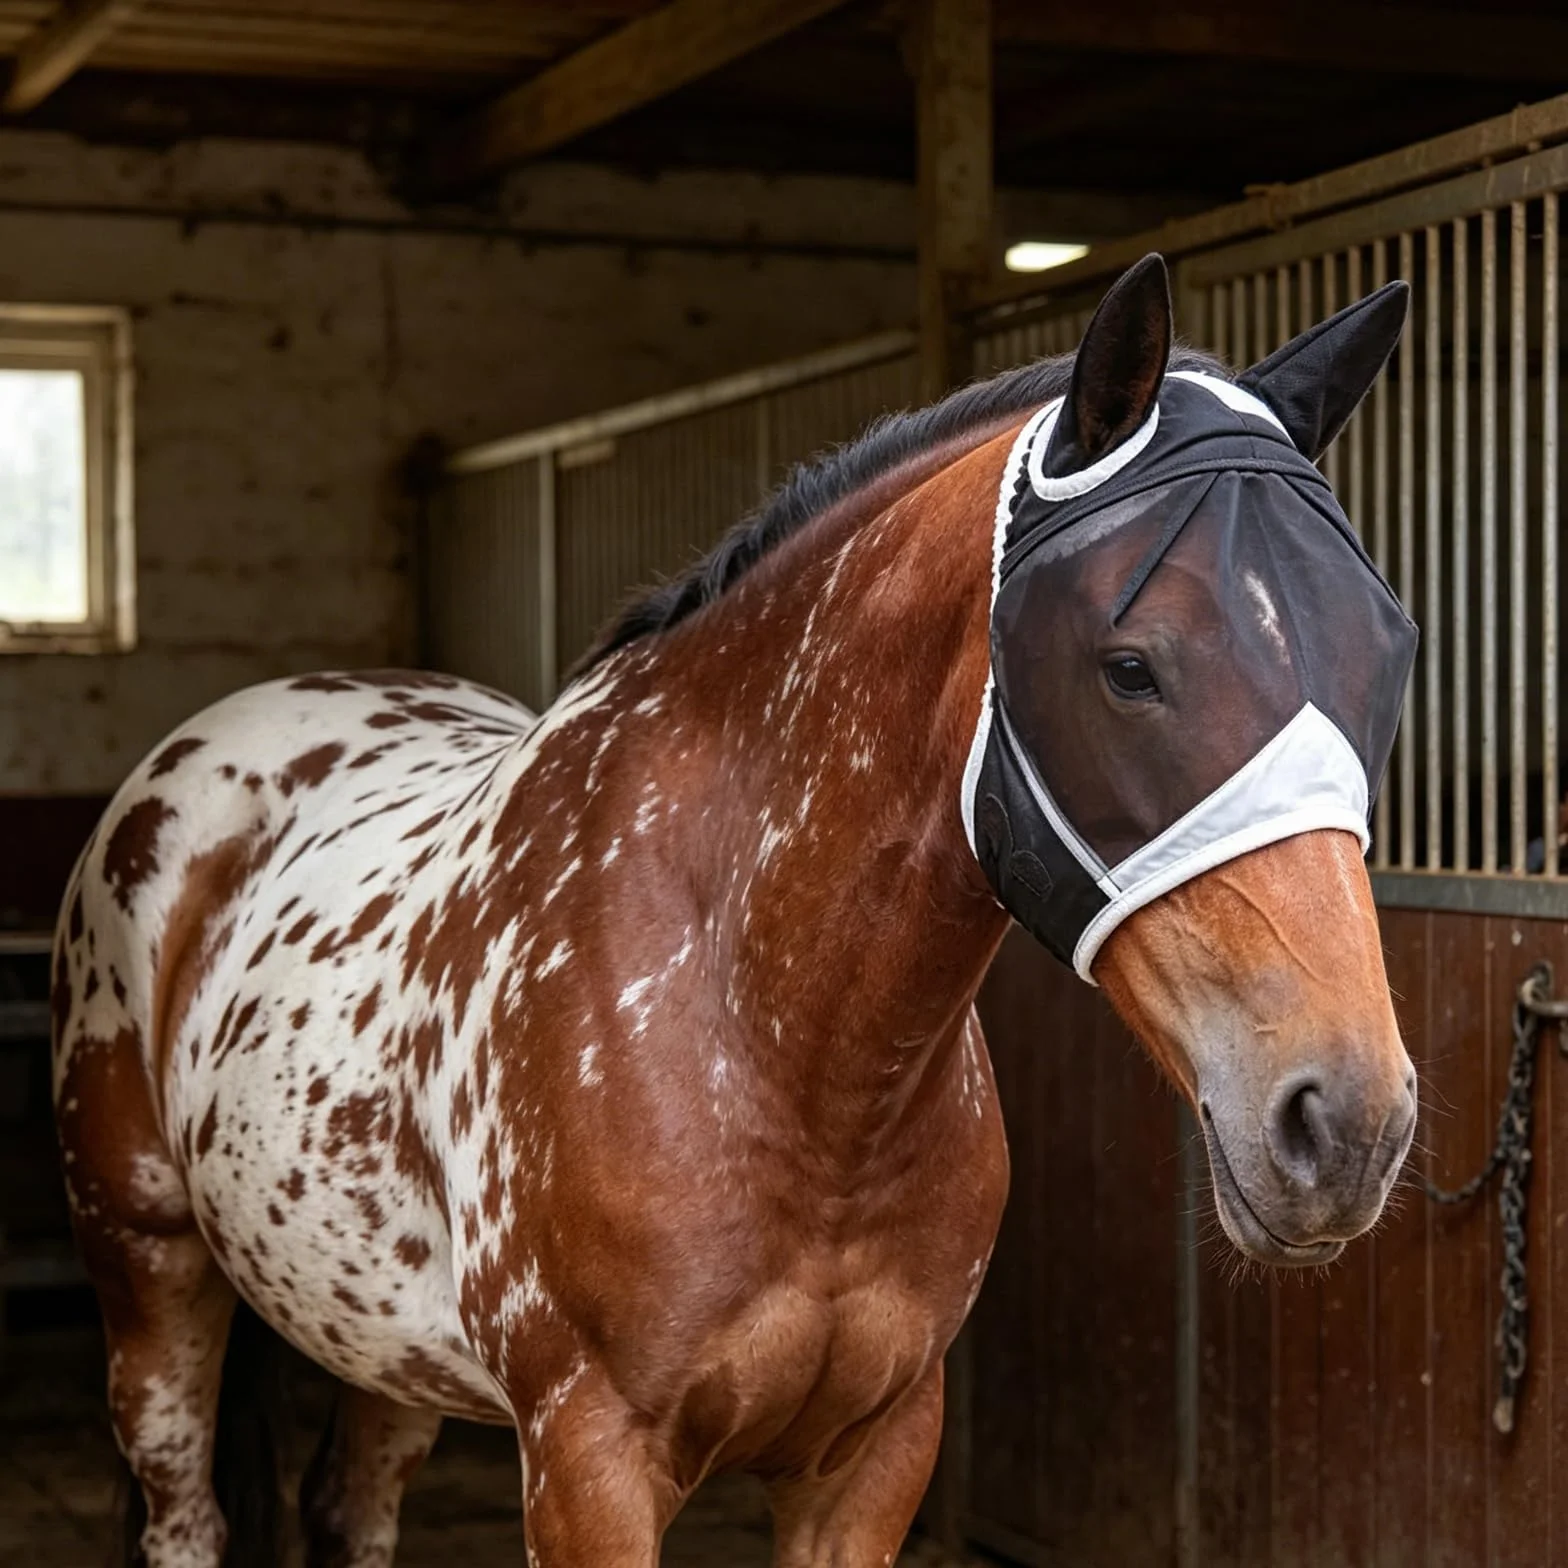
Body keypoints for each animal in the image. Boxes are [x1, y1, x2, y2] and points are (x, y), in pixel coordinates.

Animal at [52, 254, 1419, 1568]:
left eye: (1390, 654)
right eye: (1127, 666)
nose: (1345, 1122)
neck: (773, 1038)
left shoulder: (872, 1455)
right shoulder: (589, 1463)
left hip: (378, 1342)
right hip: (150, 1272)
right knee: (184, 1512)